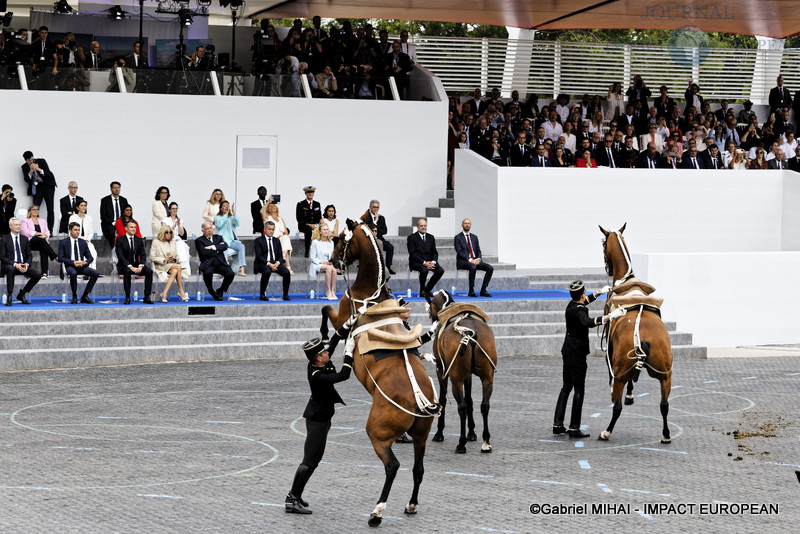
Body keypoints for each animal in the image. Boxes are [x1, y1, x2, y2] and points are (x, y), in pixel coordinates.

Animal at [324, 220, 438, 528]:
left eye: (341, 241)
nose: (332, 261)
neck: (372, 296)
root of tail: (420, 398)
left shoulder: (342, 317)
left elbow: (329, 316)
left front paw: (327, 344)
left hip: (378, 434)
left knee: (393, 466)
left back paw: (377, 511)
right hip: (421, 436)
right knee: (418, 468)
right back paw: (411, 505)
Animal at [428, 292, 496, 454]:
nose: (432, 319)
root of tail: (469, 332)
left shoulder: (441, 369)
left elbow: (443, 399)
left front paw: (439, 433)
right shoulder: (468, 375)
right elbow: (470, 399)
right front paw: (472, 432)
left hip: (456, 379)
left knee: (462, 407)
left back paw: (461, 443)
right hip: (487, 378)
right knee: (485, 405)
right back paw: (486, 441)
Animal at [596, 224, 672, 446]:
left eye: (603, 246)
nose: (608, 268)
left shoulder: (611, 353)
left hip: (623, 370)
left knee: (617, 407)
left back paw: (607, 432)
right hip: (665, 375)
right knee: (664, 405)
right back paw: (666, 434)